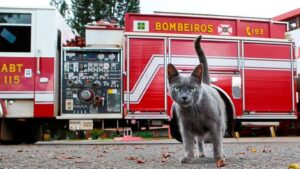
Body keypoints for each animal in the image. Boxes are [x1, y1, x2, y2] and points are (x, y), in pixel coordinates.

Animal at [168, 35, 226, 168]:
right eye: (177, 88)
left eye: (192, 88)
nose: (184, 97)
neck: (194, 111)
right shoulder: (185, 126)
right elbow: (188, 144)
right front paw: (188, 158)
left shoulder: (215, 125)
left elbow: (217, 143)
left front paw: (219, 158)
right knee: (199, 140)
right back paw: (201, 153)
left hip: (222, 124)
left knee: (219, 140)